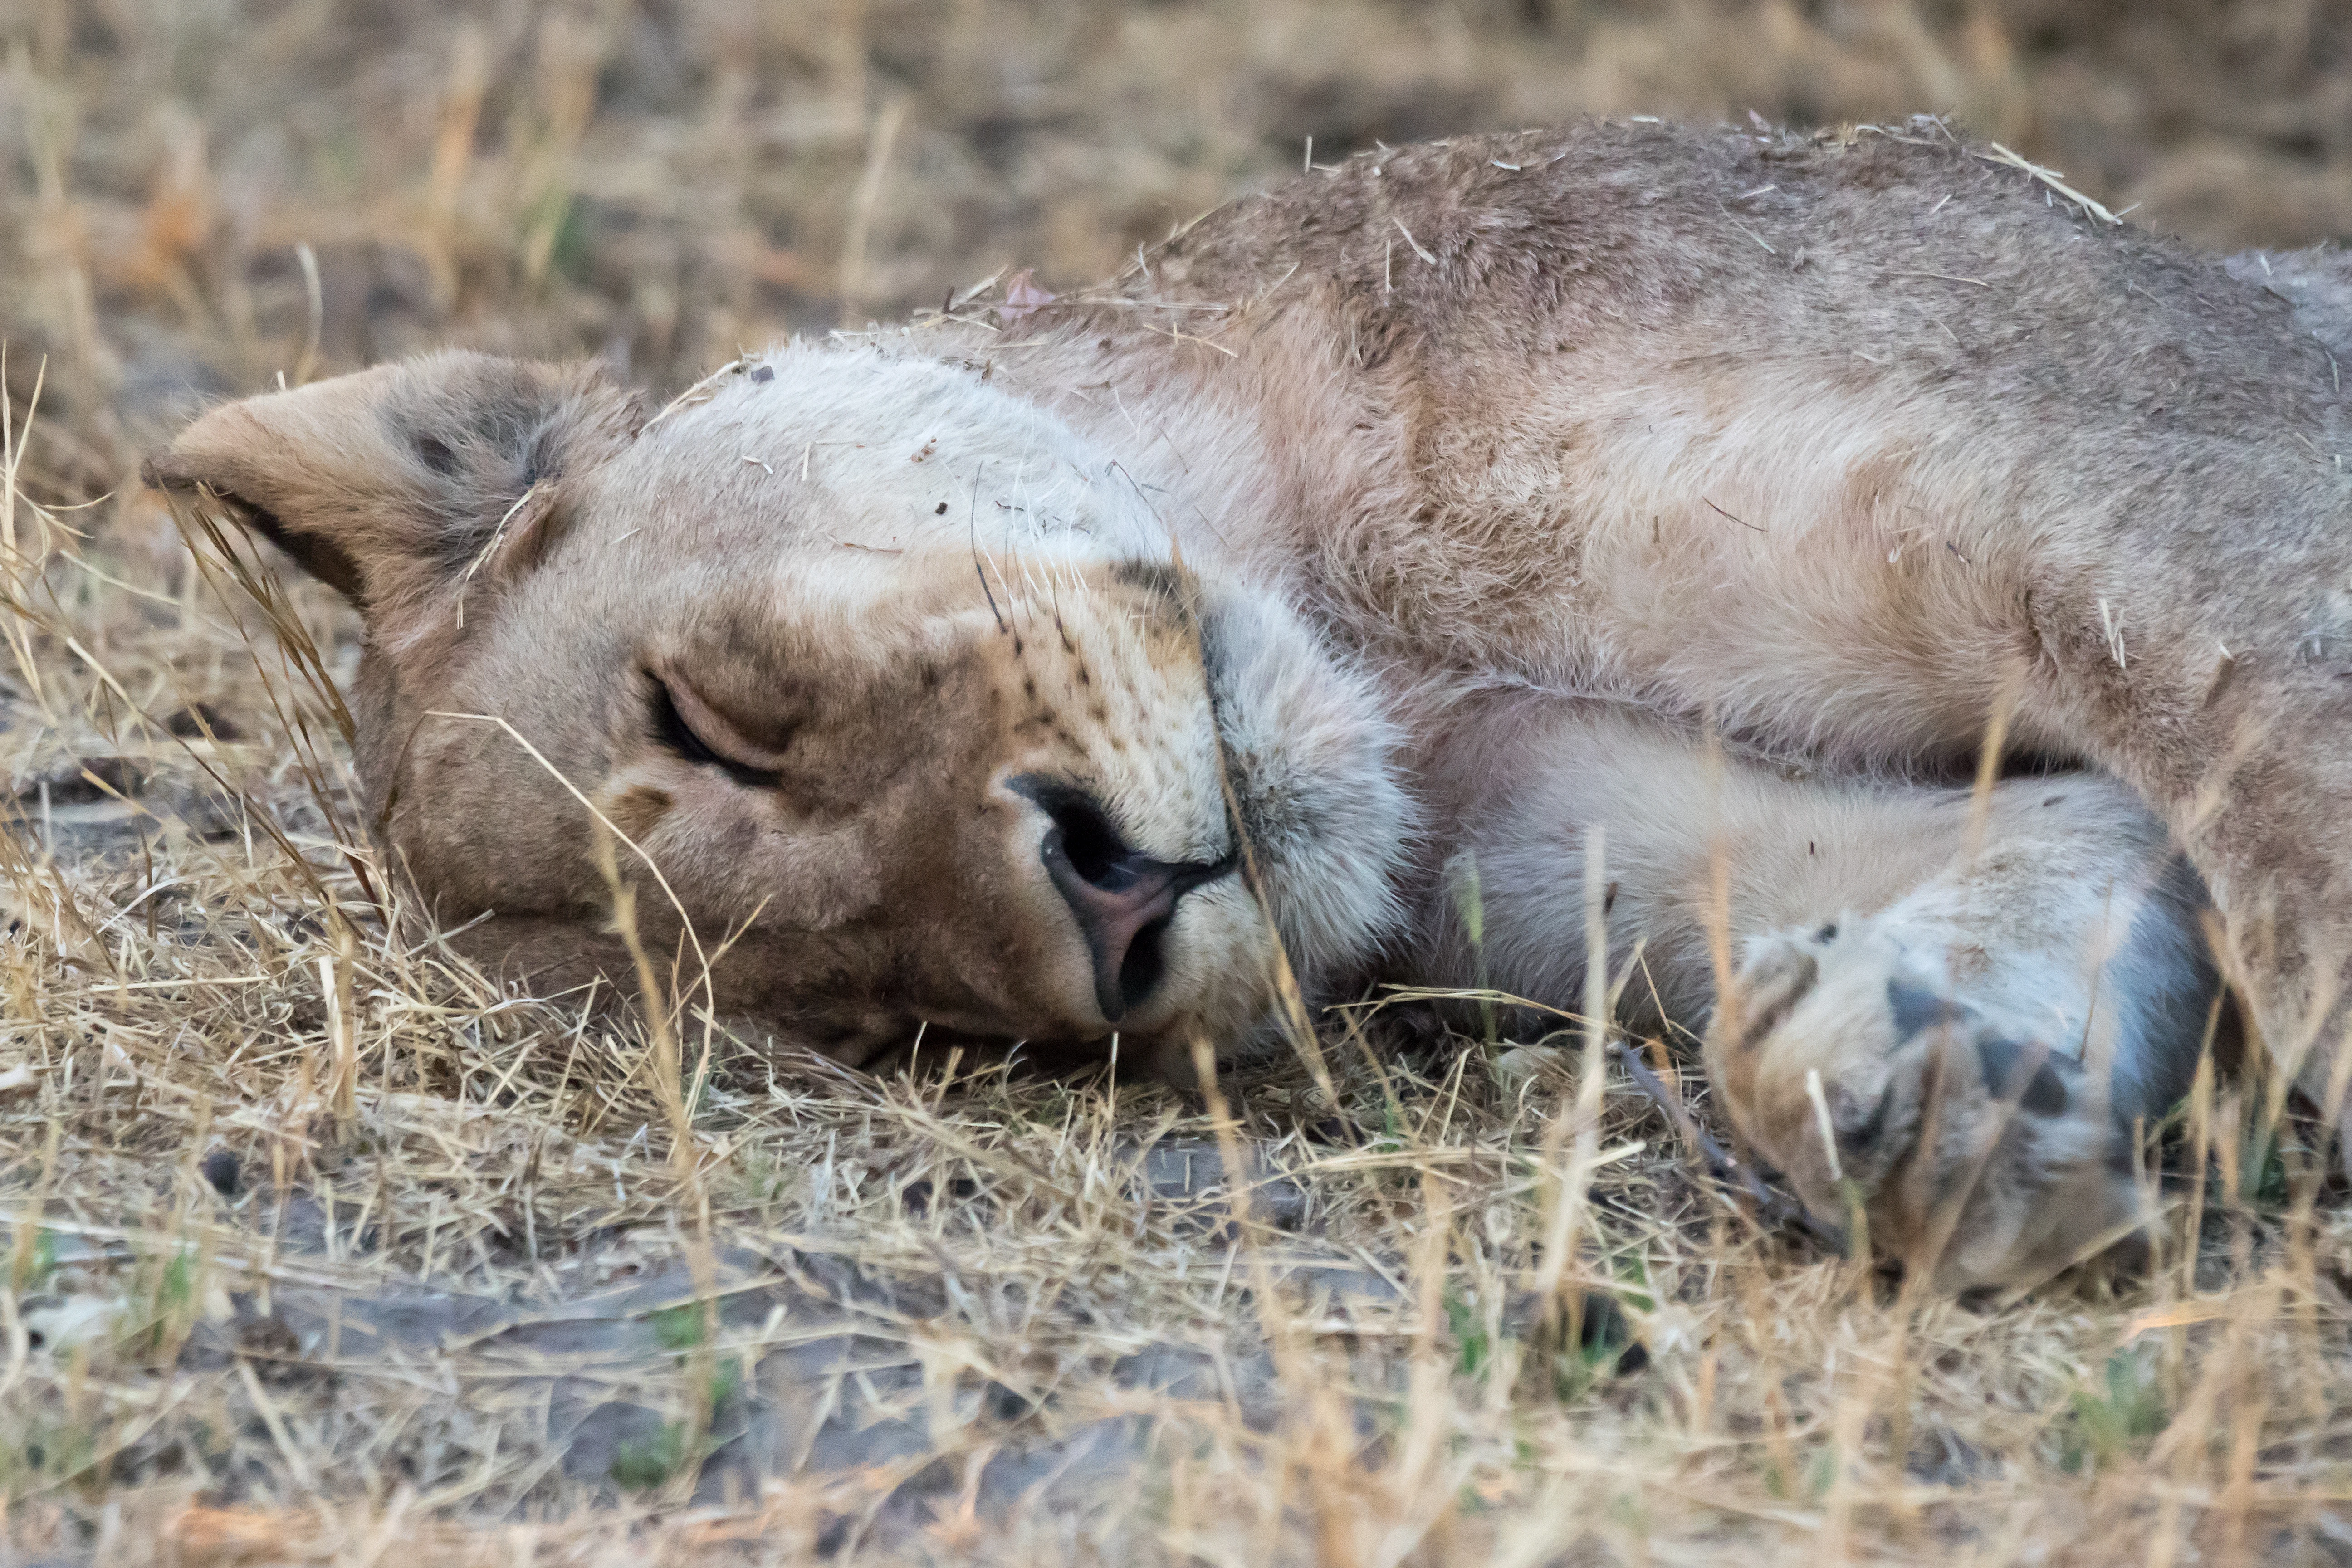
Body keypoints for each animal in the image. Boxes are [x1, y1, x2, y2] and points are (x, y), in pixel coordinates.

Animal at [147, 118, 2352, 1292]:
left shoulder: (2161, 471)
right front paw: (1935, 1089)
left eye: (710, 718)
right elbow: (2080, 836)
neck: (1377, 612)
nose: (1111, 905)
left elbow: (2290, 805)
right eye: (887, 1019)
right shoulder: (1565, 820)